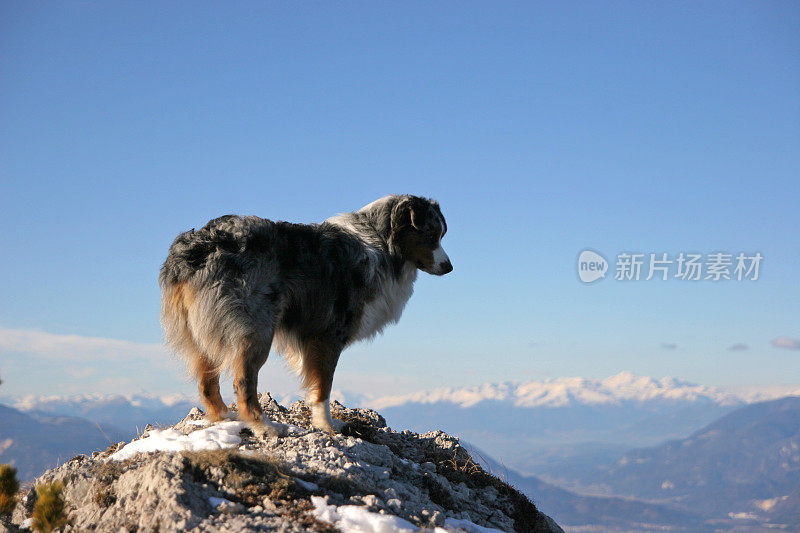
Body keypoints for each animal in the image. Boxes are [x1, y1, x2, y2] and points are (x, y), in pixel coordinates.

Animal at [161, 193, 450, 434]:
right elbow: (323, 385)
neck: (381, 242)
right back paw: (264, 426)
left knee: (206, 383)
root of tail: (193, 250)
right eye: (430, 234)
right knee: (243, 381)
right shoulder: (328, 333)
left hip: (202, 331)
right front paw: (327, 425)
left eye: (441, 234)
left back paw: (225, 418)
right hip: (256, 328)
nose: (449, 267)